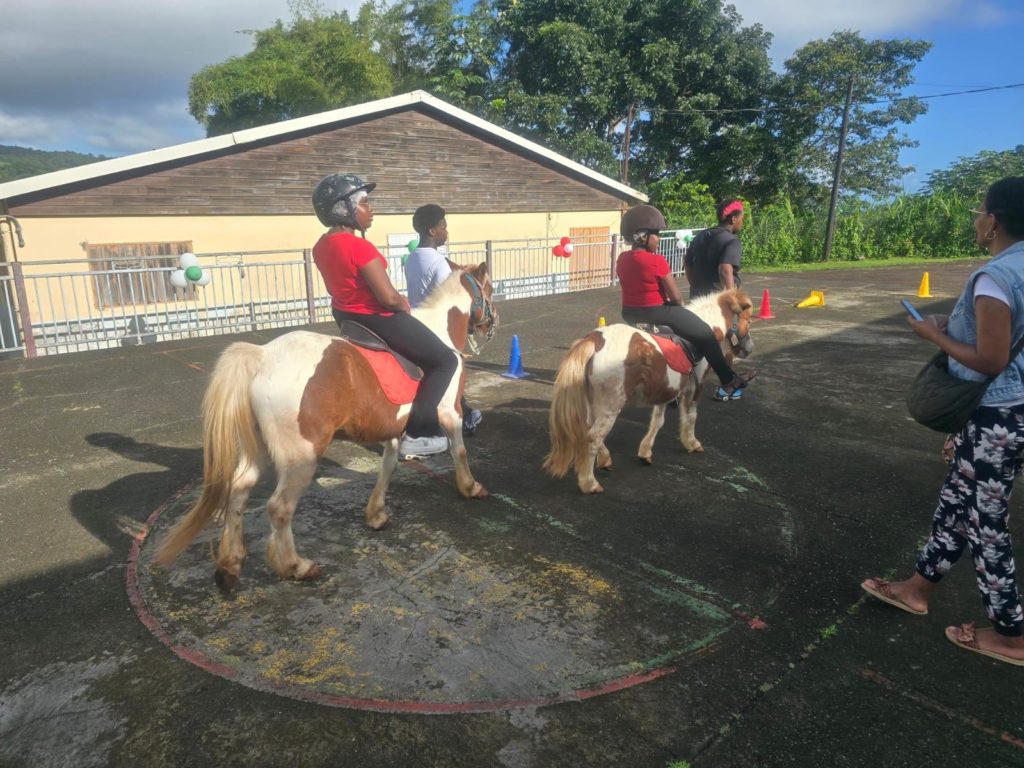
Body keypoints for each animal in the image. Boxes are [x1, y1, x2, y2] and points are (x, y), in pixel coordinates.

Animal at [154, 263, 497, 589]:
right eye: (490, 288)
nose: (490, 324)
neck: (439, 330)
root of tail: (263, 355)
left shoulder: (393, 430)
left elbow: (387, 466)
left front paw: (376, 514)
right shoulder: (450, 413)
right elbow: (459, 451)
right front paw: (470, 487)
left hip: (259, 449)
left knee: (238, 490)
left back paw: (230, 565)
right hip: (301, 458)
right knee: (278, 508)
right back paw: (295, 565)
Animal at [543, 289, 755, 494]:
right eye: (749, 320)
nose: (749, 349)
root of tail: (595, 340)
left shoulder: (666, 391)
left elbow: (657, 422)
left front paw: (645, 453)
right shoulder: (694, 388)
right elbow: (691, 417)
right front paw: (692, 443)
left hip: (593, 401)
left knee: (588, 430)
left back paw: (605, 460)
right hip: (611, 405)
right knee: (593, 437)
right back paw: (589, 483)